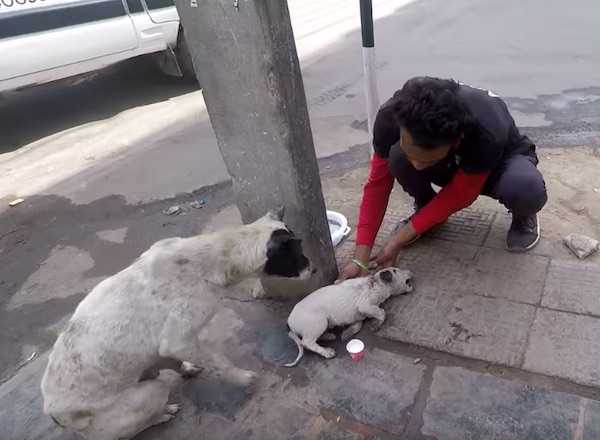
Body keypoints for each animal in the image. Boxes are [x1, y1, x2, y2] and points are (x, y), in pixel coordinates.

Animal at [41, 210, 314, 440]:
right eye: (296, 254)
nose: (314, 268)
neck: (216, 253)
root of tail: (53, 413)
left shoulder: (170, 347)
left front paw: (189, 367)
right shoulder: (178, 340)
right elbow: (220, 362)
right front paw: (242, 378)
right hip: (150, 393)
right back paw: (162, 414)